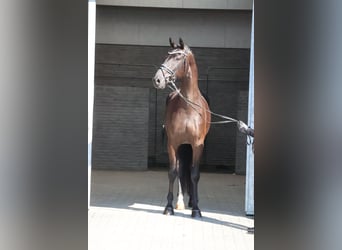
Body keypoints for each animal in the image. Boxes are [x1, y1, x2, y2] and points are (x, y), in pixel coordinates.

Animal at [153, 37, 211, 217]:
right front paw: (169, 207)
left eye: (178, 57)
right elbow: (173, 172)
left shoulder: (197, 145)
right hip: (182, 146)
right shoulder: (173, 143)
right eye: (167, 55)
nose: (157, 80)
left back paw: (192, 201)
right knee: (180, 170)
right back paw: (181, 202)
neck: (188, 107)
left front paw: (197, 209)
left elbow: (194, 174)